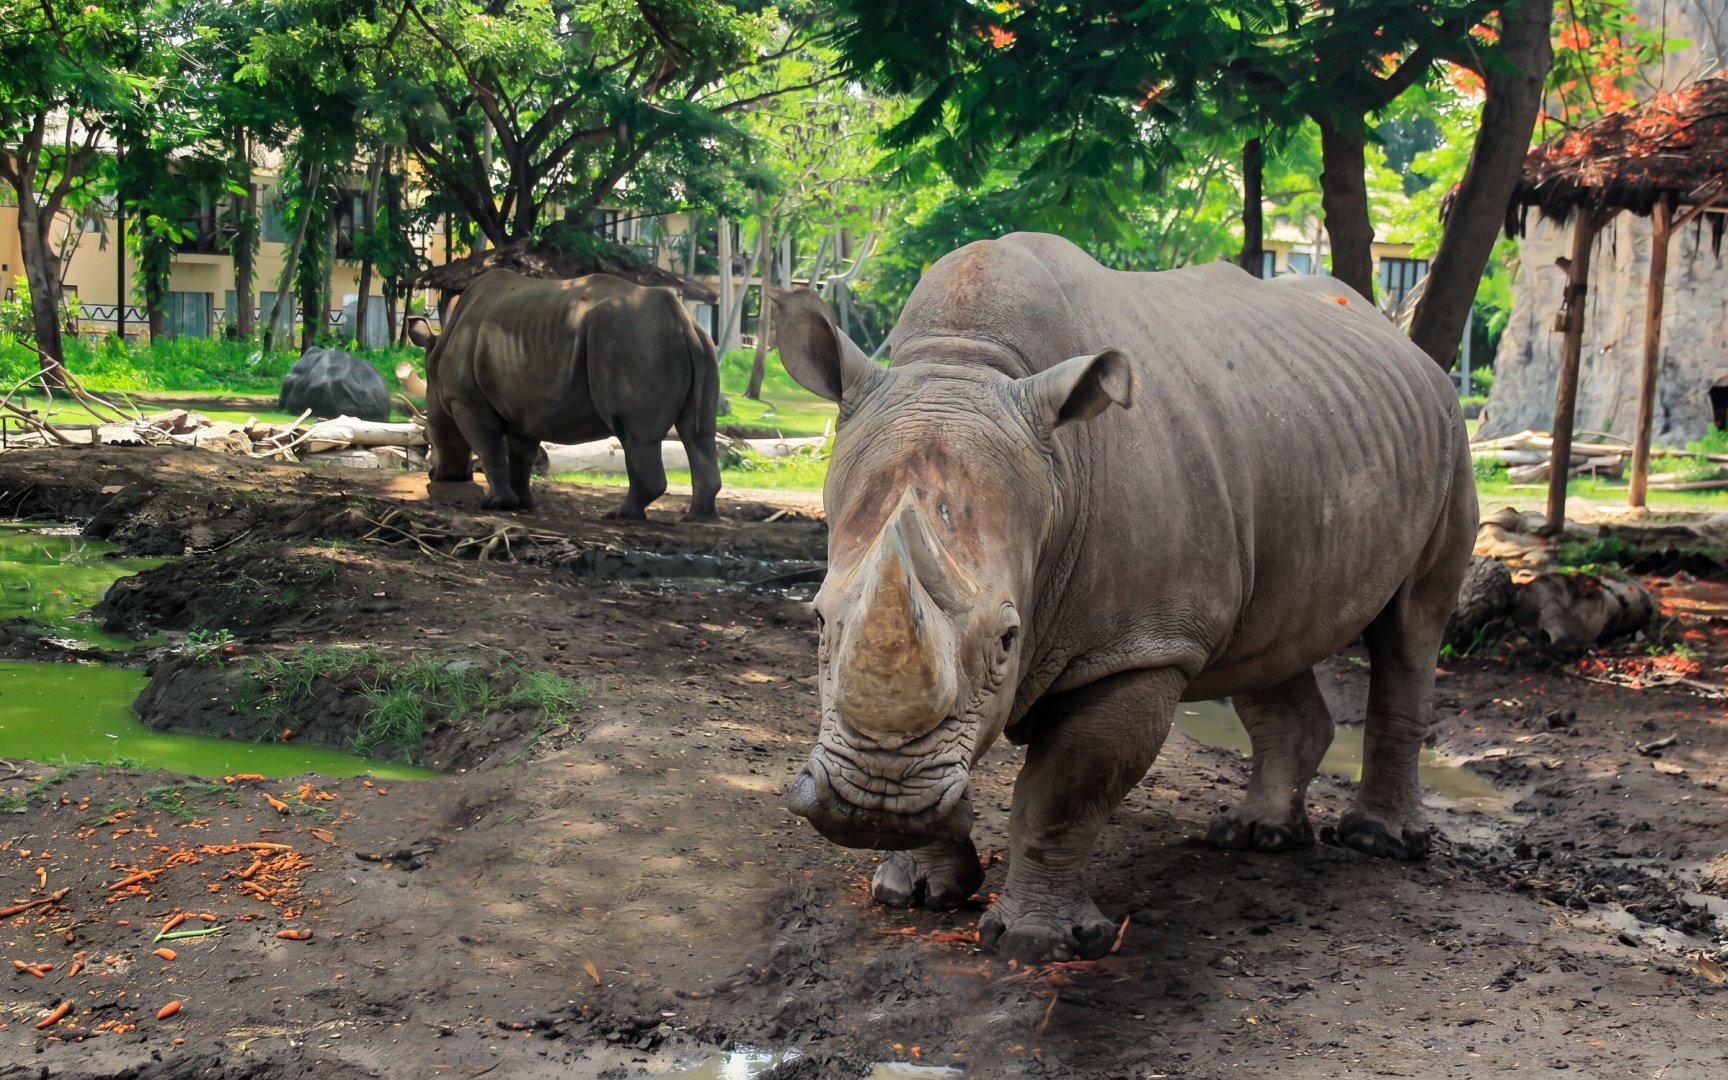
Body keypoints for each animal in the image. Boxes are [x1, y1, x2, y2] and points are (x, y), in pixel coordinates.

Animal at [407, 269, 721, 520]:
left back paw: (621, 516)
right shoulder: (523, 408)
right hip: (697, 345)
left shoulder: (465, 401)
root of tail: (682, 322)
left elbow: (489, 448)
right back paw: (697, 519)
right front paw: (523, 504)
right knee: (698, 435)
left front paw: (495, 504)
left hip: (634, 341)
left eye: (426, 435)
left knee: (636, 437)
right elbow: (521, 455)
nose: (433, 474)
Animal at [777, 233, 1475, 963]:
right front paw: (912, 889)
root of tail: (1405, 346)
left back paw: (1379, 843)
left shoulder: (1140, 646)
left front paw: (1039, 943)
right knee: (1268, 643)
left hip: (1449, 433)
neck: (966, 364)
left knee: (1412, 627)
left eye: (1008, 639)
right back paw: (1257, 835)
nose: (873, 803)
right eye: (818, 618)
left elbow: (1065, 788)